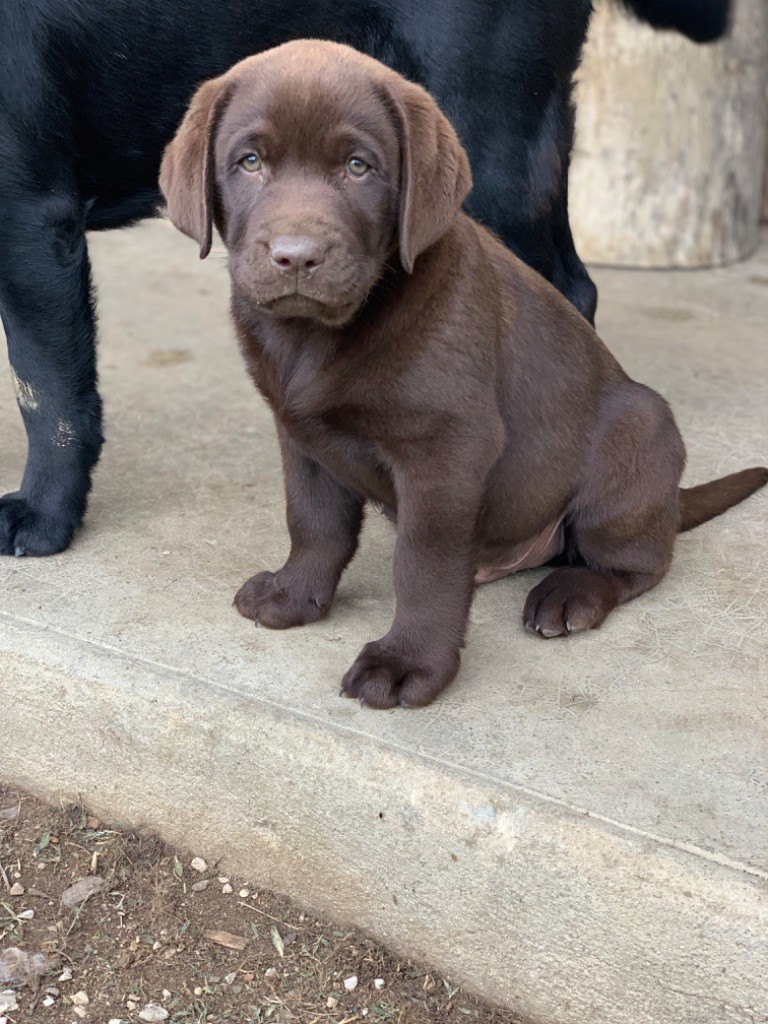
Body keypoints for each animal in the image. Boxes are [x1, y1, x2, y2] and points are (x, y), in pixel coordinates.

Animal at [159, 39, 766, 709]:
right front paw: (295, 595)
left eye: (357, 167)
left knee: (641, 561)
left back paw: (571, 594)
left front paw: (408, 662)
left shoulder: (445, 449)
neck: (315, 337)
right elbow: (314, 522)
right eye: (249, 162)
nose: (296, 256)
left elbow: (423, 565)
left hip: (635, 444)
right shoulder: (301, 435)